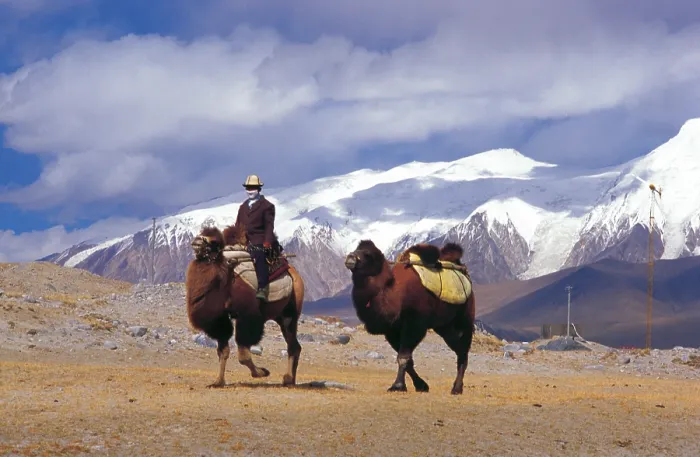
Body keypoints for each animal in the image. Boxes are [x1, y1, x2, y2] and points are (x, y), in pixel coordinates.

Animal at [185, 223, 304, 388]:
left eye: (214, 242)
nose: (196, 242)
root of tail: (295, 275)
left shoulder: (247, 315)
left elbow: (243, 355)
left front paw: (262, 372)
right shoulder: (220, 319)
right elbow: (223, 351)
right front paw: (218, 381)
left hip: (290, 314)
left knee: (293, 345)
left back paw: (288, 379)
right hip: (280, 316)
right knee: (295, 346)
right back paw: (290, 379)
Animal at [344, 240, 475, 395]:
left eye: (367, 254)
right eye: (356, 249)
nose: (350, 257)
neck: (392, 294)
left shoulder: (414, 324)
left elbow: (403, 357)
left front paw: (398, 385)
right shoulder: (392, 331)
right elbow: (408, 360)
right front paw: (421, 386)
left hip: (465, 319)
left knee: (463, 351)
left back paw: (457, 388)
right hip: (444, 327)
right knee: (459, 348)